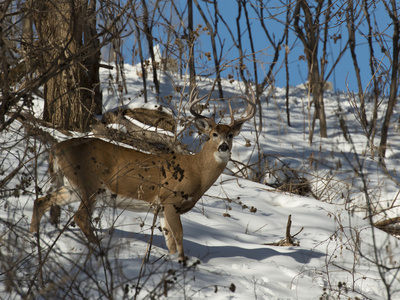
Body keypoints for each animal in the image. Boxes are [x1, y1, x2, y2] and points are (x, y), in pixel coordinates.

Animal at [30, 87, 256, 262]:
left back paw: (33, 237)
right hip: (89, 183)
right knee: (80, 216)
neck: (196, 172)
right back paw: (100, 250)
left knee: (42, 200)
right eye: (213, 134)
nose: (224, 146)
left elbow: (169, 241)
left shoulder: (162, 208)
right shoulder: (170, 199)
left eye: (230, 135)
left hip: (71, 185)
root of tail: (57, 148)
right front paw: (182, 262)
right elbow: (179, 236)